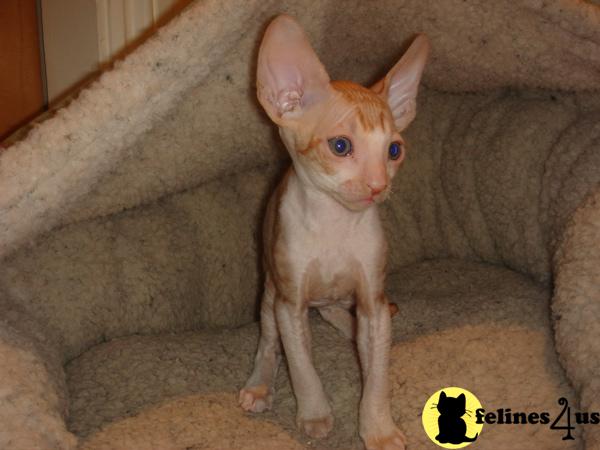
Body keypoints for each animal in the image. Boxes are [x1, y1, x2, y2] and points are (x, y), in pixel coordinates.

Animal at [237, 14, 428, 450]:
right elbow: (301, 364)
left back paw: (351, 328)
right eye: (340, 146)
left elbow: (377, 373)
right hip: (270, 293)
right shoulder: (289, 303)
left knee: (342, 316)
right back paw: (259, 386)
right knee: (268, 342)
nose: (377, 186)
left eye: (394, 151)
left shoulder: (373, 298)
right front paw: (314, 414)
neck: (334, 225)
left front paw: (378, 428)